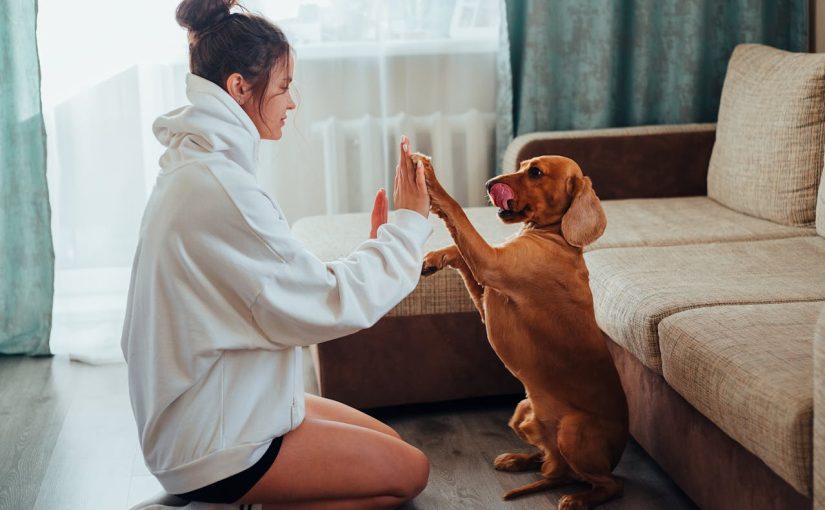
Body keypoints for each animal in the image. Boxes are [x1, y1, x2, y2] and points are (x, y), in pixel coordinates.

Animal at [416, 153, 628, 508]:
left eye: (536, 173)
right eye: (522, 165)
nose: (490, 184)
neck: (556, 237)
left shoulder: (491, 264)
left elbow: (457, 212)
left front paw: (431, 180)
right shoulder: (486, 292)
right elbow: (459, 252)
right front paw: (434, 258)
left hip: (573, 431)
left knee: (609, 484)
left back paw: (578, 499)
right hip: (522, 411)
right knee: (549, 461)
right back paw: (520, 460)